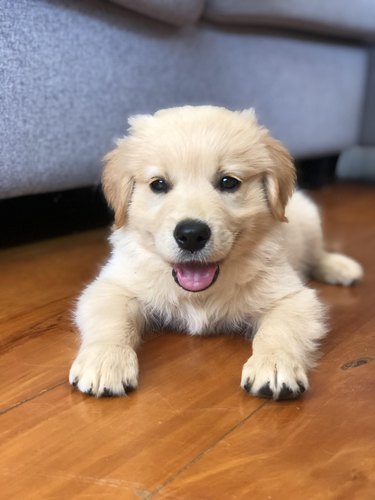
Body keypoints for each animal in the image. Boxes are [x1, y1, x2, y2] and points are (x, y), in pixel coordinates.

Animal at [69, 107, 362, 400]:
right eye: (158, 184)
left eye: (228, 182)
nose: (191, 235)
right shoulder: (113, 286)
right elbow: (111, 322)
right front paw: (105, 360)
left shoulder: (291, 296)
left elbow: (279, 331)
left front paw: (275, 364)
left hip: (309, 220)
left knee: (317, 254)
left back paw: (340, 267)